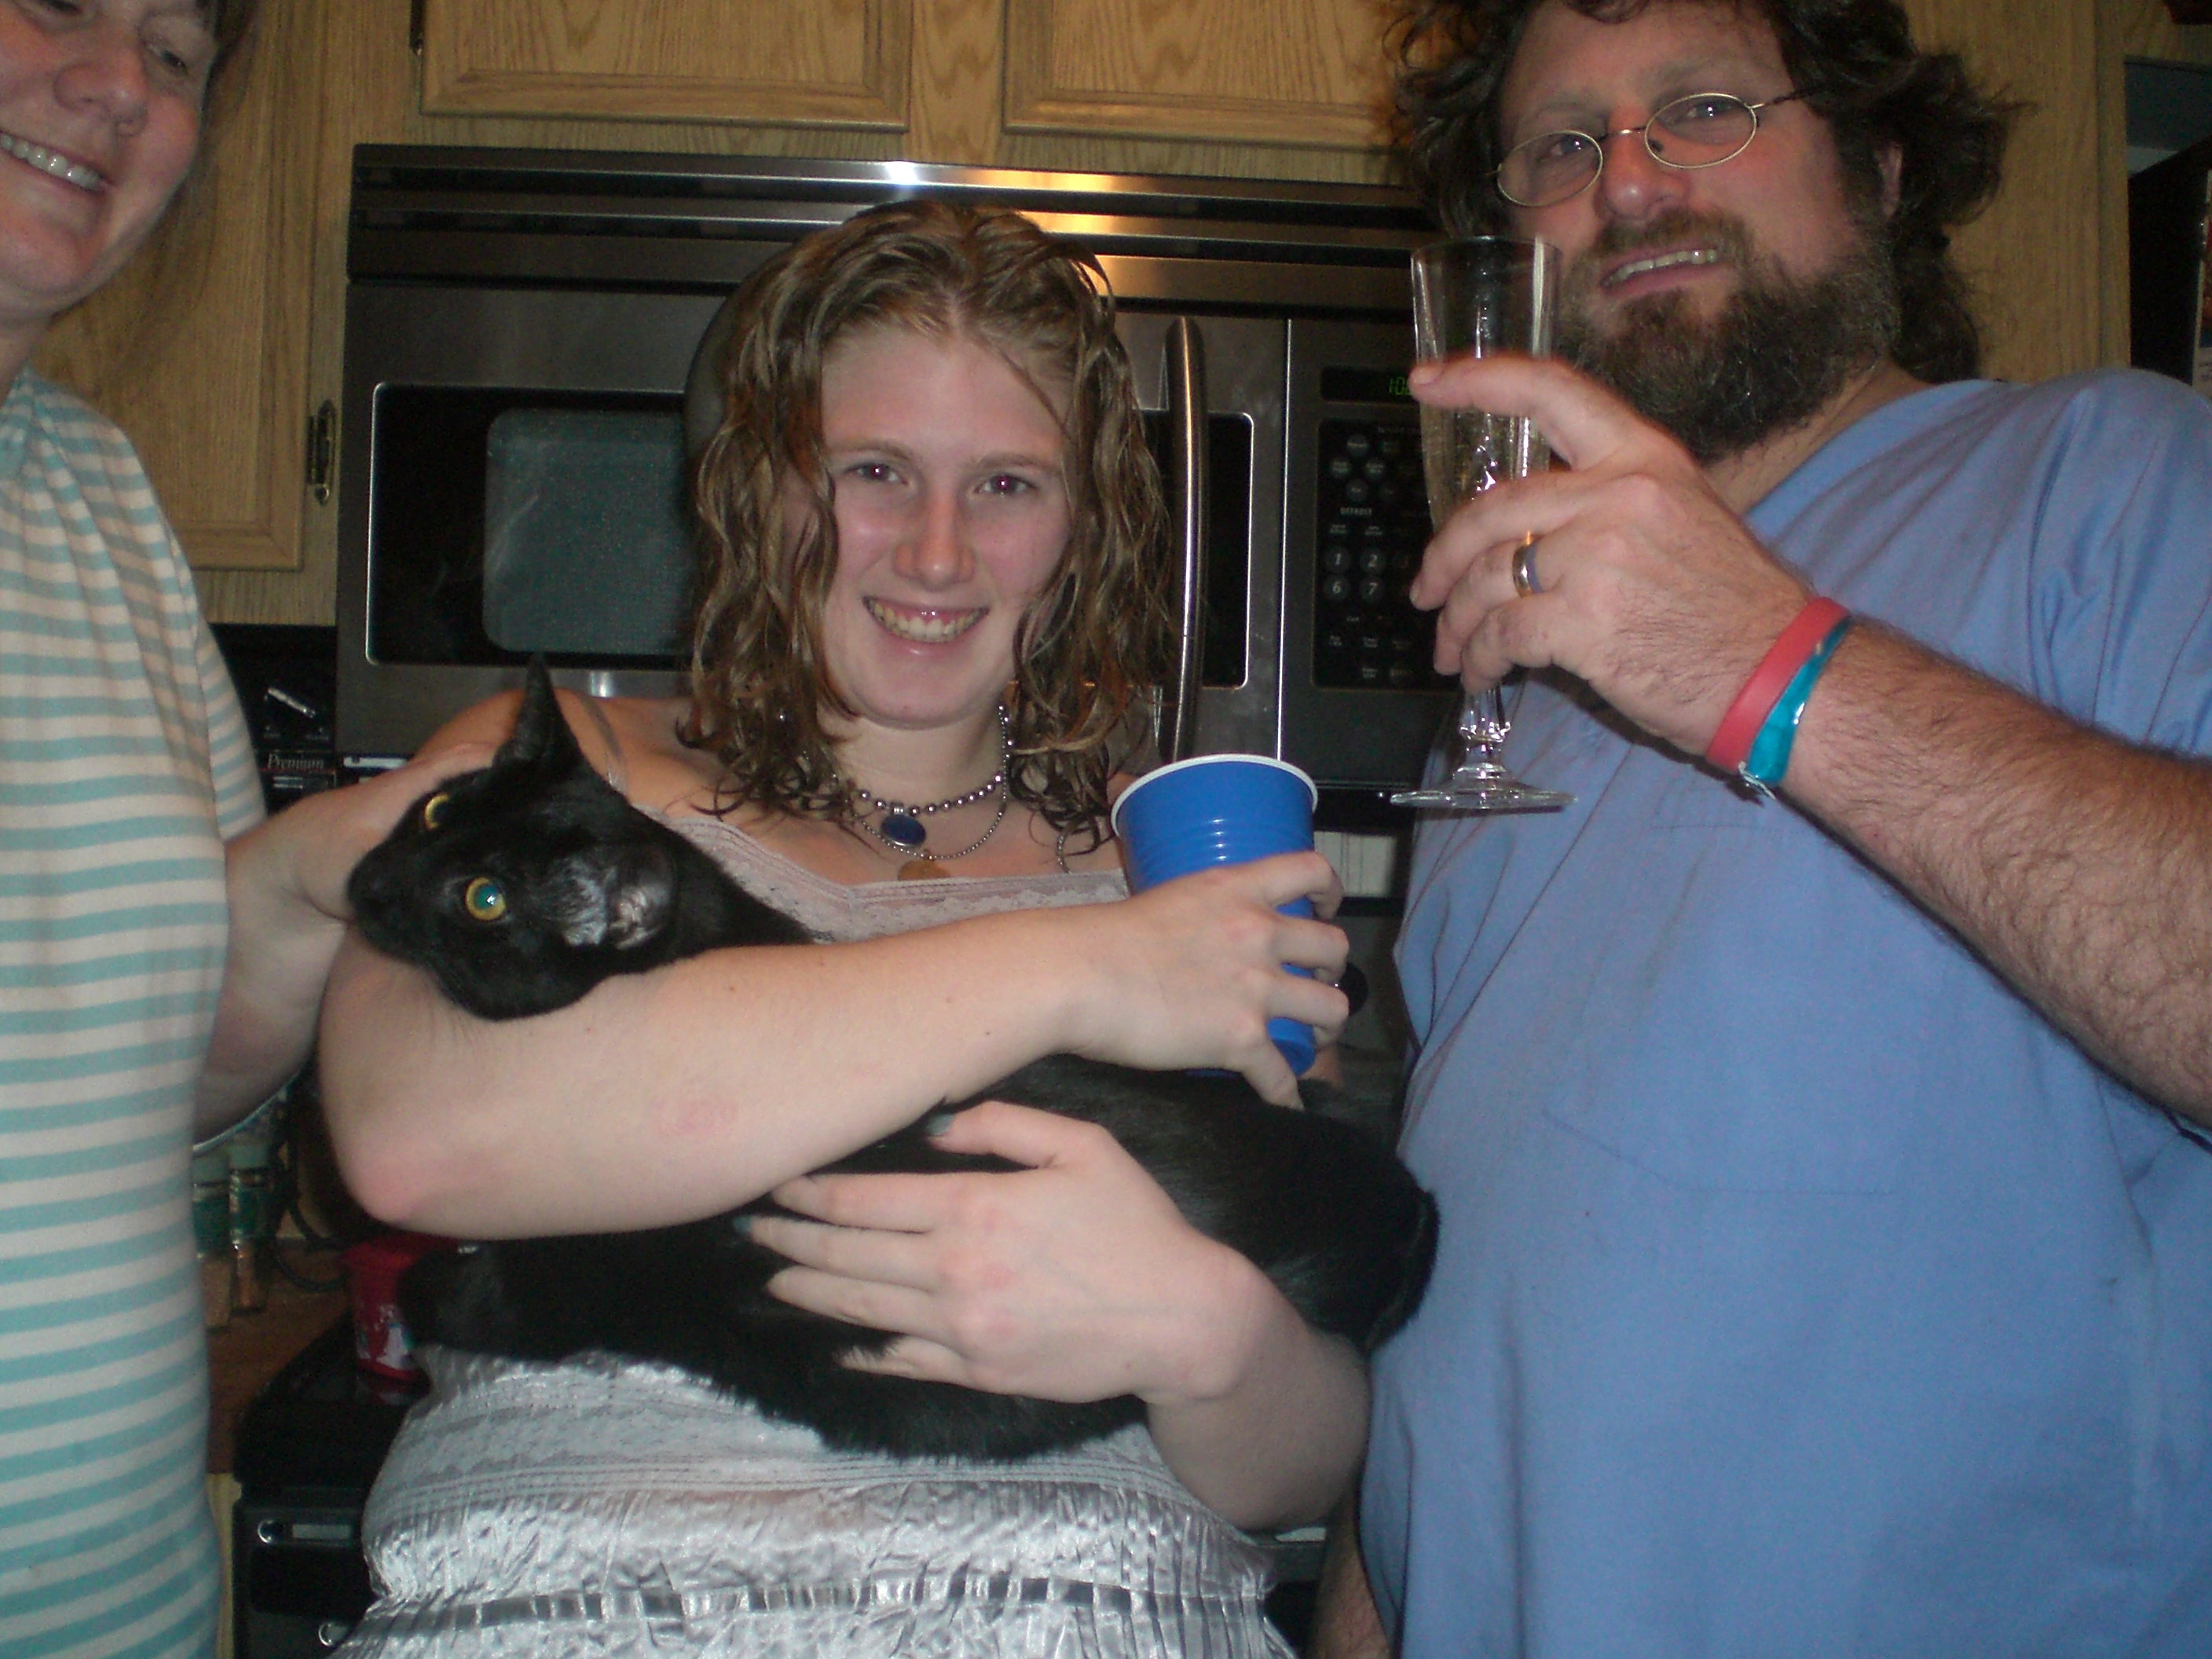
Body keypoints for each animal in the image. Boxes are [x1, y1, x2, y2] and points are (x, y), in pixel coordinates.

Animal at [345, 660, 1436, 1461]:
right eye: (436, 813)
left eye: (483, 900)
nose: (366, 882)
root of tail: (1404, 1200)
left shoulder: (577, 1272)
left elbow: (468, 1290)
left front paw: (424, 1284)